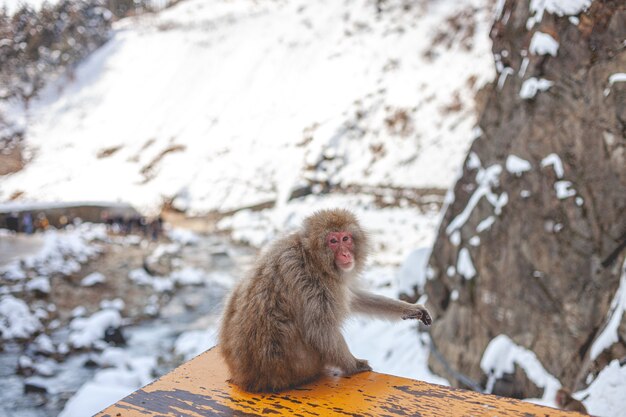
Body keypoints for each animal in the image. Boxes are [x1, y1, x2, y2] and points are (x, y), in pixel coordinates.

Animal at [218, 210, 428, 392]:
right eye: (333, 241)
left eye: (346, 239)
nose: (345, 254)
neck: (312, 258)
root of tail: (247, 378)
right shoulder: (311, 282)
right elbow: (320, 329)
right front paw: (354, 365)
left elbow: (353, 299)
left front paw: (410, 308)